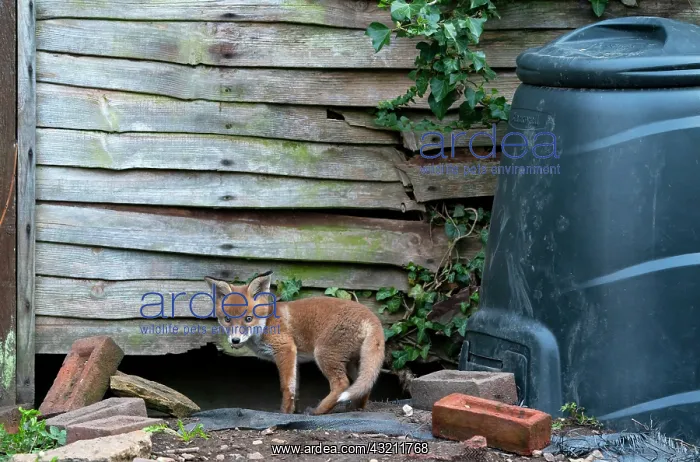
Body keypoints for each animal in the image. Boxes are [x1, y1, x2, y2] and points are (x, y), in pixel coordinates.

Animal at [204, 271, 386, 415]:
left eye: (248, 319)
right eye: (227, 319)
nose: (235, 340)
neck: (266, 323)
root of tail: (372, 316)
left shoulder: (285, 349)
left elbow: (286, 388)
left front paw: (284, 413)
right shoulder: (295, 358)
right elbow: (295, 389)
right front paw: (293, 412)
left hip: (324, 355)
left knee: (342, 384)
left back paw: (319, 411)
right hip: (354, 363)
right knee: (365, 385)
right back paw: (355, 409)